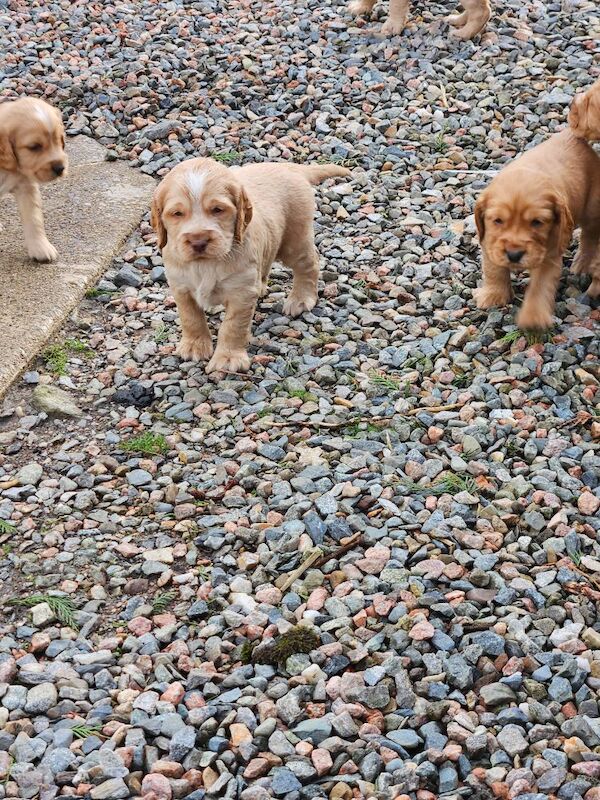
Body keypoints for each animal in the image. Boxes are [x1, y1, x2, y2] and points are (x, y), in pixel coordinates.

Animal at [0, 96, 68, 260]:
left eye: (59, 139)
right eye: (34, 147)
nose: (60, 168)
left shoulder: (26, 186)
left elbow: (34, 218)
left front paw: (41, 248)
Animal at [151, 160, 352, 378]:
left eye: (218, 209)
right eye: (177, 213)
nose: (198, 241)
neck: (205, 264)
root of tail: (290, 167)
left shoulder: (241, 291)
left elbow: (232, 326)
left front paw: (228, 358)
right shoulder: (180, 286)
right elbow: (190, 317)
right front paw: (194, 346)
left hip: (293, 241)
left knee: (309, 265)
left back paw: (301, 299)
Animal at [346, 0, 492, 39]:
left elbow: (396, 5)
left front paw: (392, 25)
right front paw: (361, 7)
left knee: (482, 11)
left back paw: (462, 34)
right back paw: (456, 20)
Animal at [474, 128, 600, 328]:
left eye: (537, 222)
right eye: (498, 220)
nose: (514, 255)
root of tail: (573, 135)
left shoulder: (549, 252)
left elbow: (540, 286)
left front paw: (533, 317)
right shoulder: (489, 241)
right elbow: (494, 270)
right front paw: (493, 296)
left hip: (592, 209)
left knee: (590, 235)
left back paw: (582, 264)